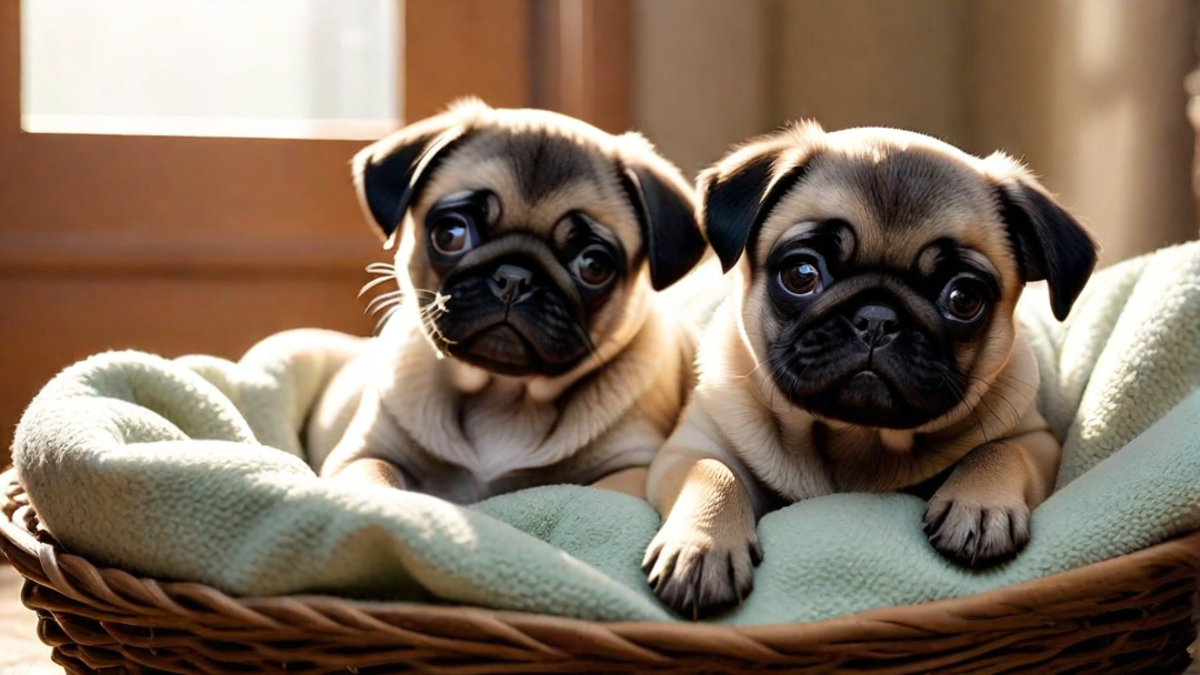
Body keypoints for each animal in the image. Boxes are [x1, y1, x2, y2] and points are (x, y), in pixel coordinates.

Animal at [307, 98, 710, 499]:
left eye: (594, 266)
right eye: (450, 234)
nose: (514, 278)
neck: (502, 394)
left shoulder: (630, 471)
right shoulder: (365, 454)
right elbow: (378, 481)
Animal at [643, 120, 1099, 614]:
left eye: (964, 298)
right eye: (801, 275)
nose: (877, 319)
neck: (855, 439)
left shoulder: (1036, 438)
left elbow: (999, 451)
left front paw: (979, 507)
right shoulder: (688, 448)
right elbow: (713, 472)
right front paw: (703, 547)